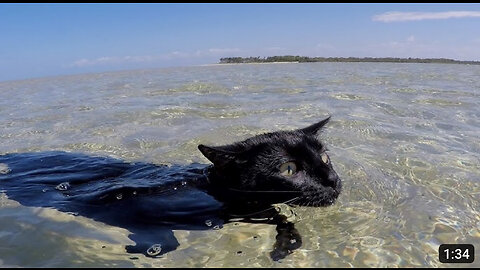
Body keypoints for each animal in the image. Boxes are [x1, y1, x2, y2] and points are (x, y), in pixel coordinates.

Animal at [0, 116, 342, 262]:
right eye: (289, 170)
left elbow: (284, 219)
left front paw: (284, 244)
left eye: (324, 157)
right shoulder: (130, 206)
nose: (333, 180)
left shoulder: (259, 209)